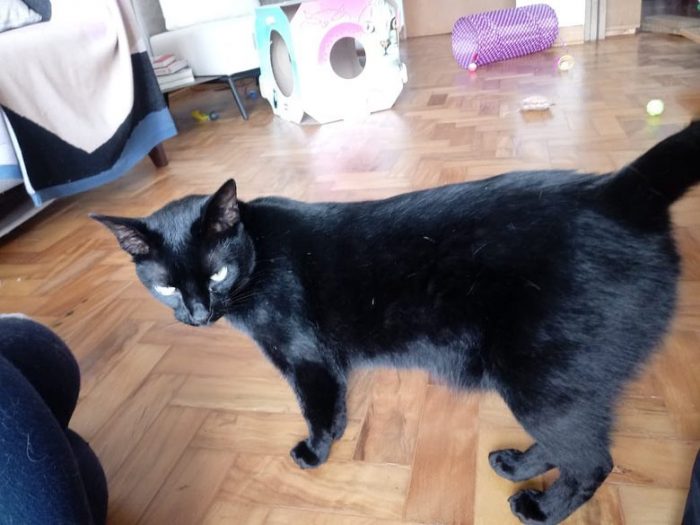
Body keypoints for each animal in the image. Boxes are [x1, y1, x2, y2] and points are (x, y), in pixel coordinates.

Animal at [93, 121, 699, 525]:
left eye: (216, 273)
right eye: (167, 286)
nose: (197, 314)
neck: (259, 256)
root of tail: (620, 191)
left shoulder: (306, 360)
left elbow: (317, 410)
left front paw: (316, 453)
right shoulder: (323, 363)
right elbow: (334, 406)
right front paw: (334, 438)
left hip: (542, 379)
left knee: (592, 461)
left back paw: (540, 508)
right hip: (564, 382)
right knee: (569, 444)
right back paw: (516, 465)